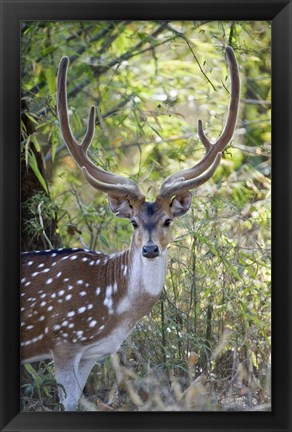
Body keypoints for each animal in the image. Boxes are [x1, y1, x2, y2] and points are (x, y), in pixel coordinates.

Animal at [20, 47, 240, 412]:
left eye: (168, 220)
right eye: (134, 222)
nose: (149, 248)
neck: (112, 310)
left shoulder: (92, 353)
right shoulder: (63, 339)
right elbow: (67, 402)